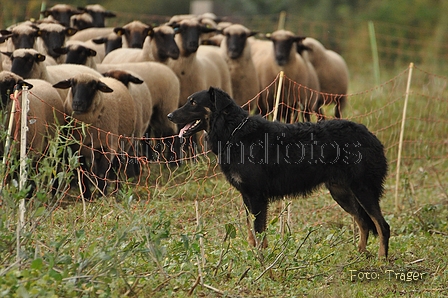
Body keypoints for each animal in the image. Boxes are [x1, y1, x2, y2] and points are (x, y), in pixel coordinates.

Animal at [166, 86, 390, 258]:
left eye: (193, 103)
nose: (169, 115)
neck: (235, 133)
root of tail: (372, 137)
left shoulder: (256, 196)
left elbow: (258, 231)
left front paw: (261, 260)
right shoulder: (246, 196)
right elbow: (252, 233)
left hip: (363, 189)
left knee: (381, 225)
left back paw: (381, 260)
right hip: (341, 192)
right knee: (364, 222)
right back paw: (360, 255)